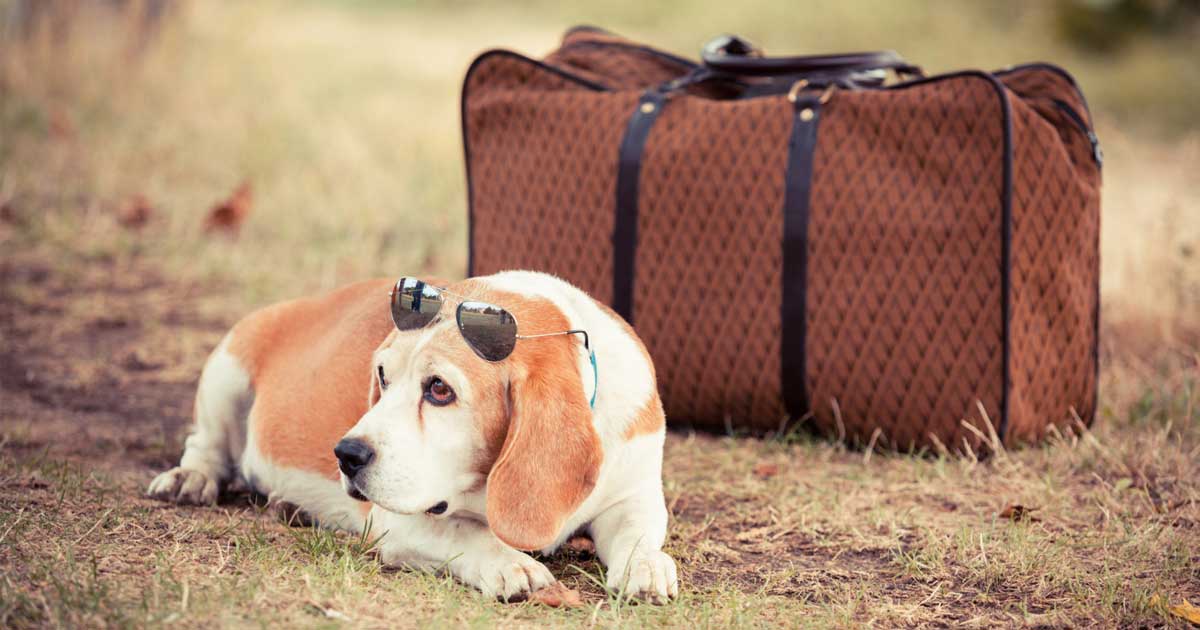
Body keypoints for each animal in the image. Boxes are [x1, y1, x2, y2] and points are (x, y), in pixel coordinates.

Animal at [142, 268, 676, 600]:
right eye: (382, 375)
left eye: (439, 389)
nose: (345, 454)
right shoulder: (398, 521)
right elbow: (463, 529)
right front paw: (509, 563)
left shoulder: (634, 492)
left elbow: (637, 529)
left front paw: (646, 564)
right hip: (227, 366)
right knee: (206, 446)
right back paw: (191, 479)